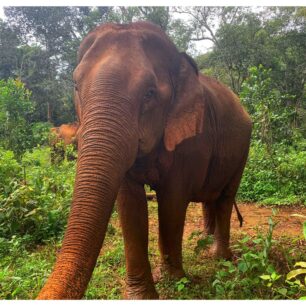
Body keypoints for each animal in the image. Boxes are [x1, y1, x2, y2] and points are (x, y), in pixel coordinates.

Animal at [37, 22, 251, 300]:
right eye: (75, 86)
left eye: (150, 93)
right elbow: (130, 206)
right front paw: (141, 295)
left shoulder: (192, 142)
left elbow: (172, 202)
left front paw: (174, 281)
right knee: (210, 198)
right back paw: (203, 244)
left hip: (243, 148)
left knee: (225, 197)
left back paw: (220, 258)